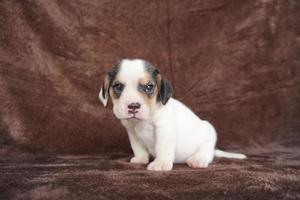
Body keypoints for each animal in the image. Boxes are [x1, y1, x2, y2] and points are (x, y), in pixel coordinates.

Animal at [99, 58, 246, 171]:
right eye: (117, 86)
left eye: (149, 87)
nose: (133, 106)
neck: (144, 120)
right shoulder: (132, 133)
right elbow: (138, 148)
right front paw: (141, 159)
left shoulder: (164, 130)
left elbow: (162, 147)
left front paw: (160, 163)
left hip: (208, 134)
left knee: (206, 153)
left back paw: (198, 159)